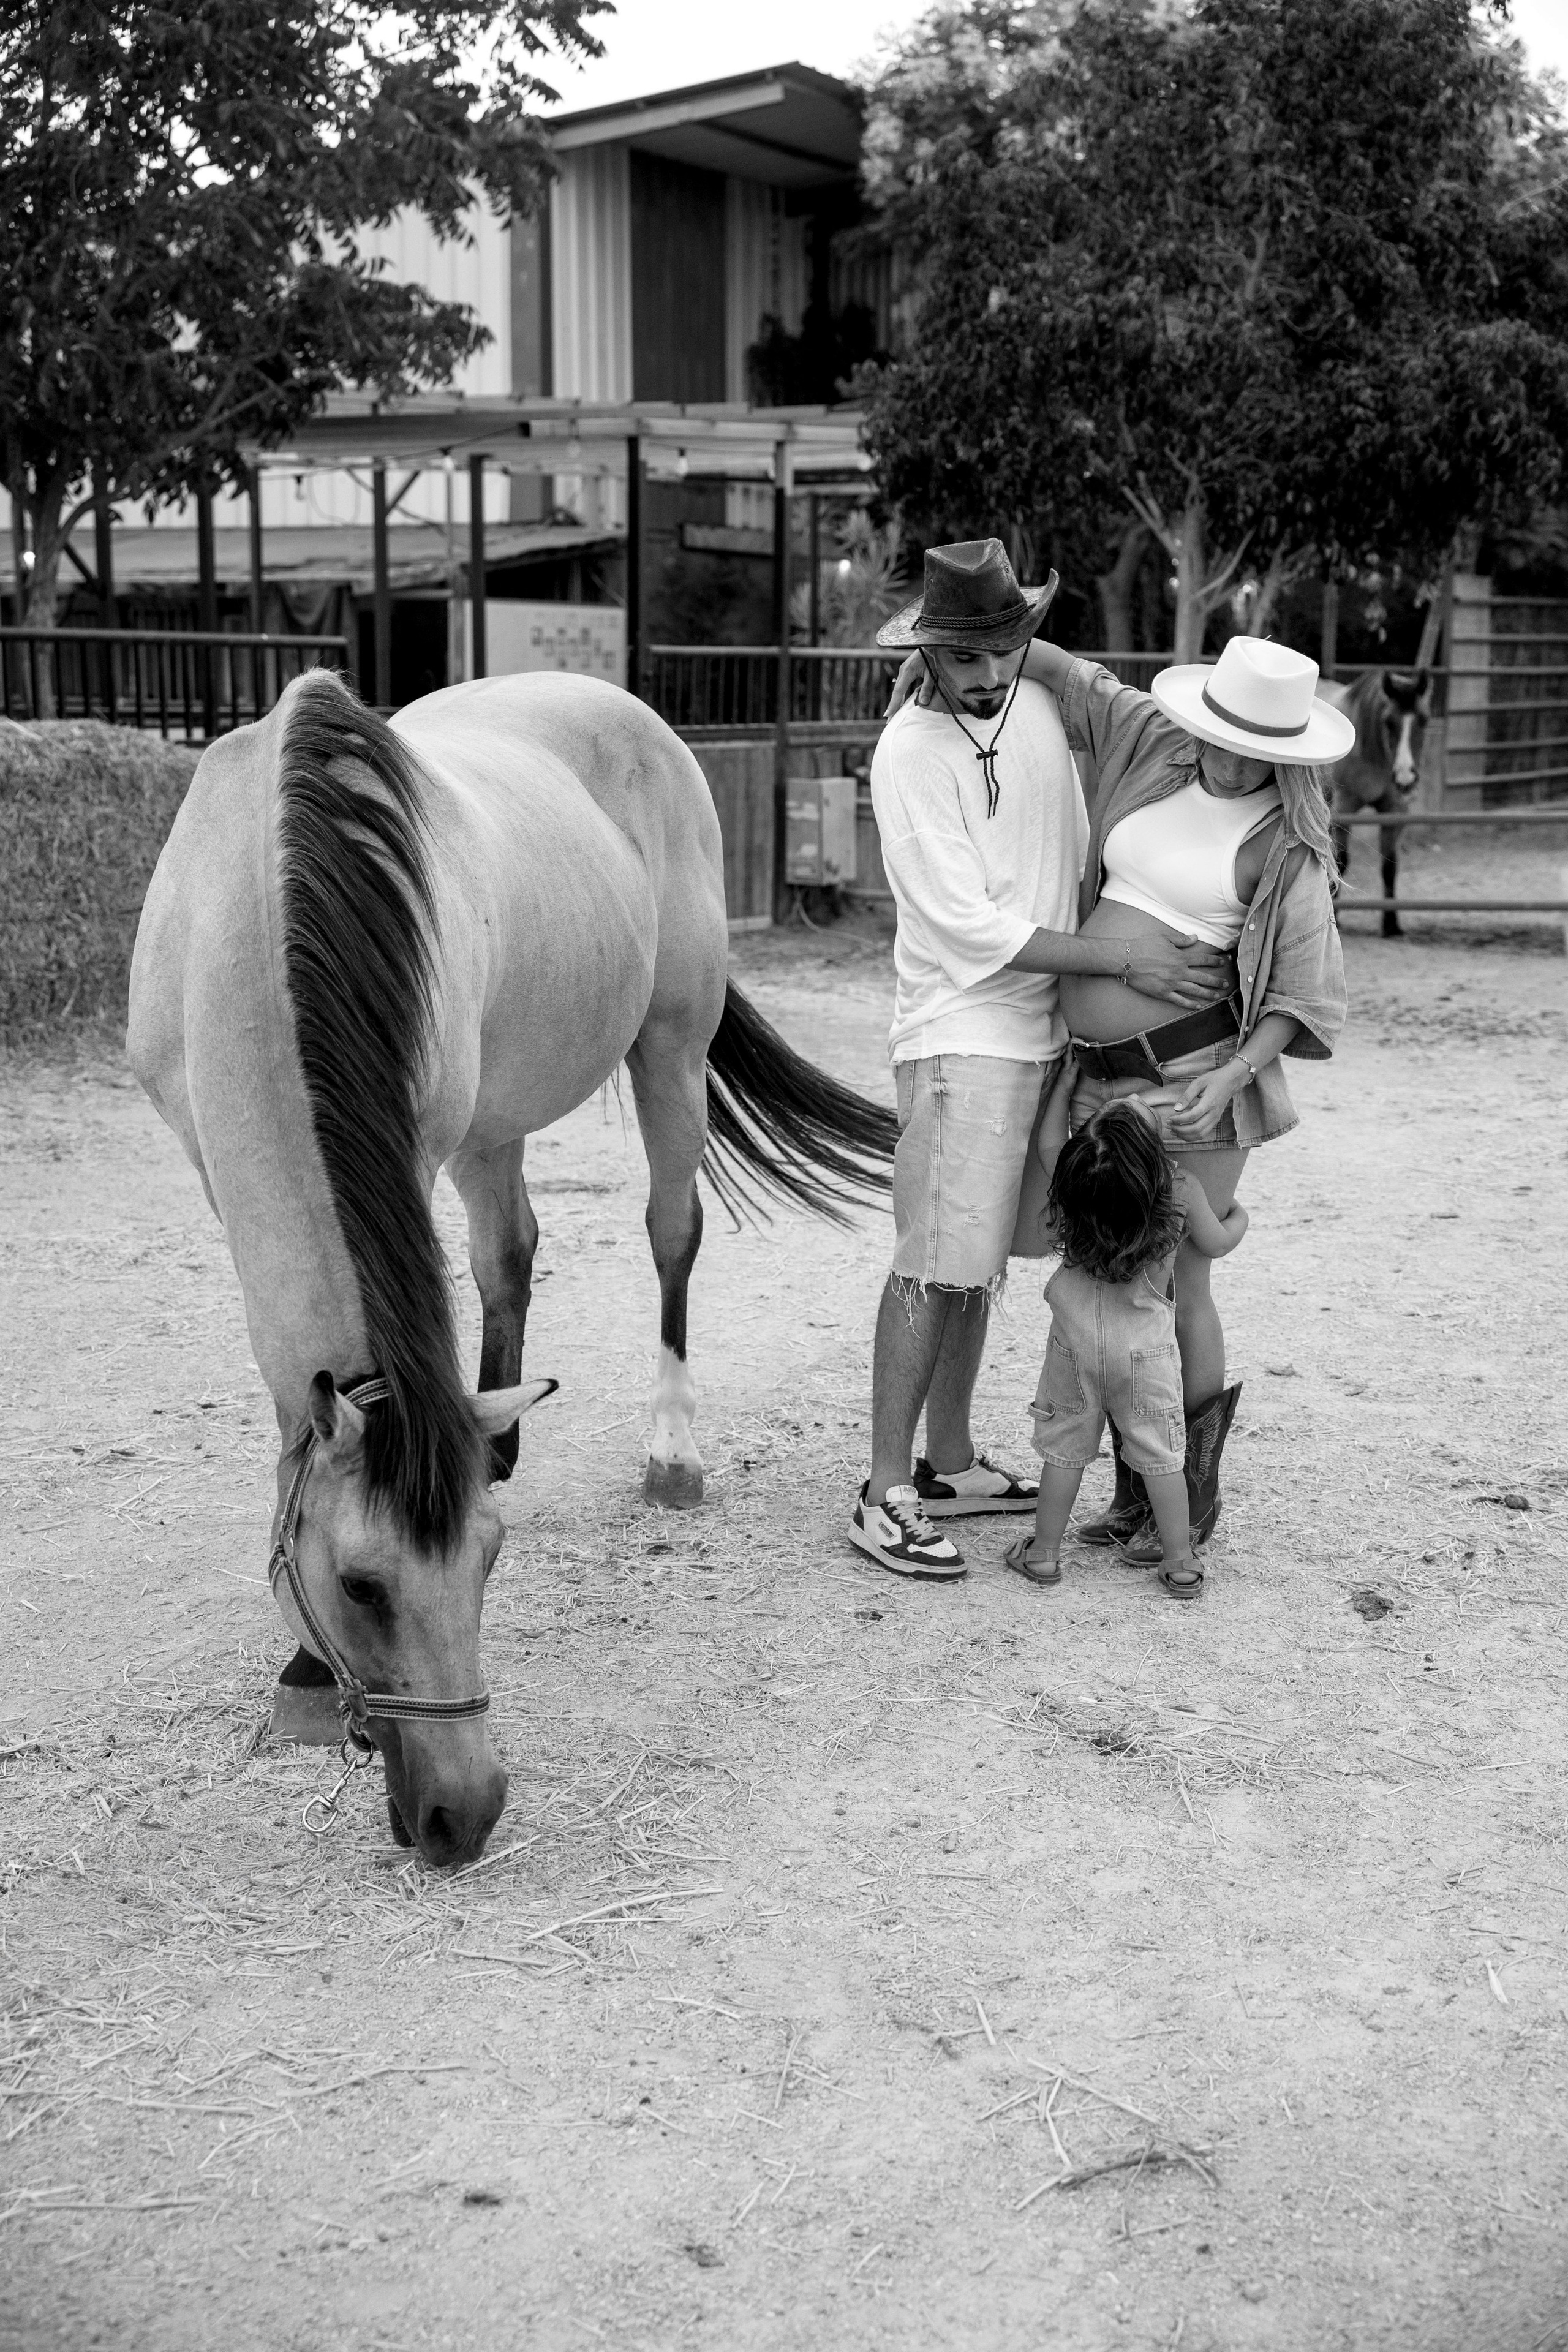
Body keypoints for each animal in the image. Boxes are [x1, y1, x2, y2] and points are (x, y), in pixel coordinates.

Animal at [127, 668, 896, 1868]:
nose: (467, 1812)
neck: (258, 896)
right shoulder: (215, 1162)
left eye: (492, 1563)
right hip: (496, 1120)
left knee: (670, 1234)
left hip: (668, 1046)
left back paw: (671, 1453)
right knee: (510, 1253)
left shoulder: (412, 1143)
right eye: (359, 1584)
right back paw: (497, 1438)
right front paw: (302, 1669)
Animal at [1316, 668, 1432, 936]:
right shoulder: (1344, 810)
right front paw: (1336, 916)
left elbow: (1390, 867)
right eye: (1389, 722)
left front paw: (1391, 924)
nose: (1405, 778)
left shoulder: (1395, 812)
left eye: (1424, 720)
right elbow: (1342, 862)